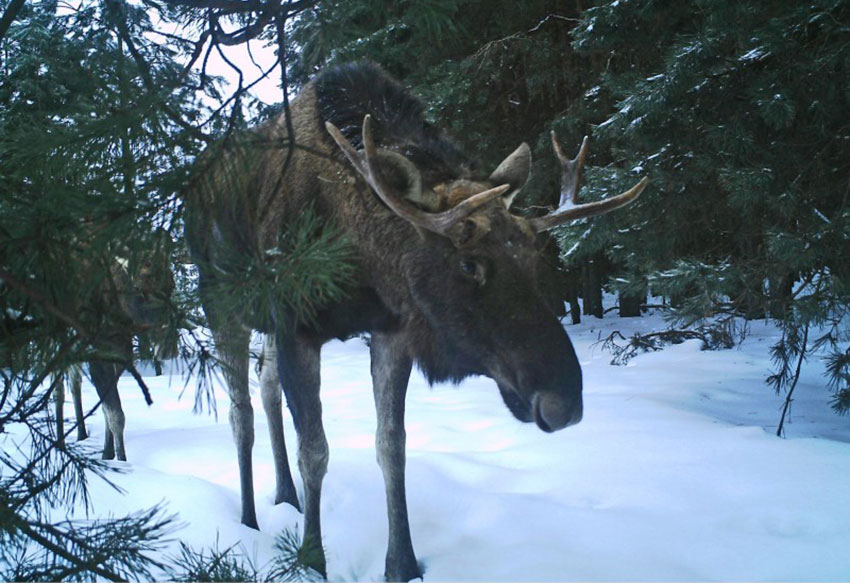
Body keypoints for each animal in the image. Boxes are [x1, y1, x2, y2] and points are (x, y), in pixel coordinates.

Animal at [184, 61, 644, 580]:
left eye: (533, 255)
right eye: (468, 264)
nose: (563, 404)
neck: (361, 260)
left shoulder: (391, 331)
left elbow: (392, 446)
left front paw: (401, 561)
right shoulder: (298, 327)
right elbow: (315, 451)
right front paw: (311, 559)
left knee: (266, 390)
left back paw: (286, 496)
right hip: (220, 303)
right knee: (239, 412)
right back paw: (248, 518)